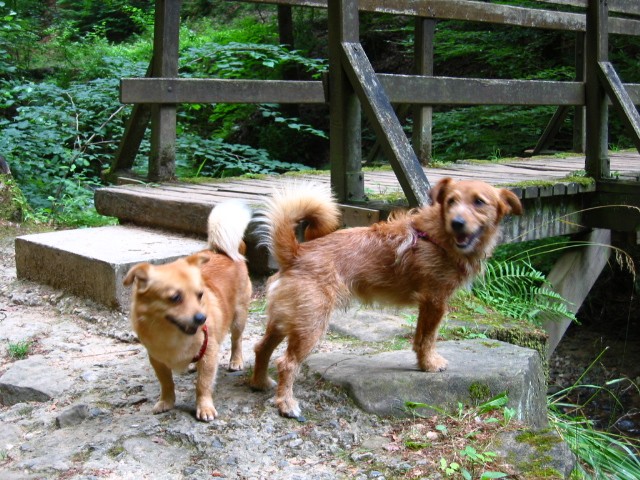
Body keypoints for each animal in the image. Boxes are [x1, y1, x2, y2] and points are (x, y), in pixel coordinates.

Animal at [124, 201, 254, 422]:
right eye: (175, 298)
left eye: (200, 295)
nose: (202, 318)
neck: (172, 335)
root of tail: (222, 252)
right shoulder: (157, 360)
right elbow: (166, 383)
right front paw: (166, 402)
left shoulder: (210, 353)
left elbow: (203, 384)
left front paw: (204, 407)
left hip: (238, 318)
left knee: (236, 340)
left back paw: (235, 361)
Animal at [248, 178, 524, 418]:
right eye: (451, 201)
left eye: (479, 202)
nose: (457, 222)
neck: (437, 237)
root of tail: (297, 253)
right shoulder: (435, 301)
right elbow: (428, 339)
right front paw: (429, 364)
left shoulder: (427, 305)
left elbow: (419, 338)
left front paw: (422, 363)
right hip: (311, 325)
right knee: (286, 363)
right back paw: (286, 404)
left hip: (286, 320)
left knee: (261, 347)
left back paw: (259, 382)